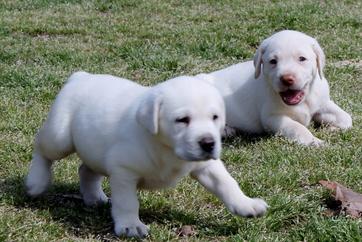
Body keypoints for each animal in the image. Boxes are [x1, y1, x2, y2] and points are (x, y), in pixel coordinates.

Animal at [25, 72, 268, 238]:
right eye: (182, 120)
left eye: (215, 117)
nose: (208, 143)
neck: (166, 148)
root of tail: (81, 76)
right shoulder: (124, 171)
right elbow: (127, 202)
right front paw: (130, 225)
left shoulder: (207, 166)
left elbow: (227, 183)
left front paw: (245, 204)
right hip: (59, 137)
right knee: (41, 149)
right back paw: (36, 182)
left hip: (94, 149)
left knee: (86, 170)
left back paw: (94, 198)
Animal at [197, 29, 352, 145]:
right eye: (273, 61)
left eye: (302, 59)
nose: (287, 79)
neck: (304, 100)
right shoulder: (272, 118)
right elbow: (298, 128)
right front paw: (315, 142)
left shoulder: (323, 103)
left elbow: (346, 118)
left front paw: (331, 129)